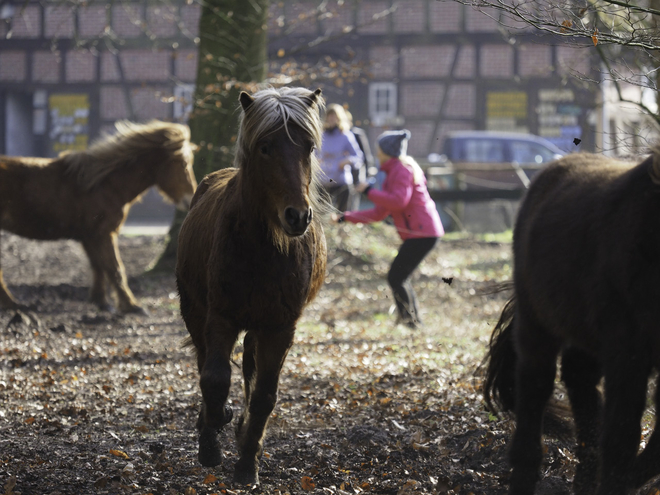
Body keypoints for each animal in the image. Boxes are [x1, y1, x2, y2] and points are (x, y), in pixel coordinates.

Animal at [0, 120, 196, 314]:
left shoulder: (89, 237)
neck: (104, 185)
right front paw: (131, 306)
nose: (191, 199)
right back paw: (11, 304)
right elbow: (115, 269)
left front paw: (101, 301)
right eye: (183, 164)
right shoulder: (103, 234)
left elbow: (98, 266)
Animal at [175, 87, 328, 486]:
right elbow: (214, 379)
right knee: (206, 364)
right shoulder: (220, 318)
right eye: (265, 147)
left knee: (249, 370)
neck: (264, 248)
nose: (297, 216)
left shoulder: (280, 328)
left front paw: (247, 461)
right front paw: (214, 434)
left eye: (309, 146)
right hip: (195, 313)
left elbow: (264, 396)